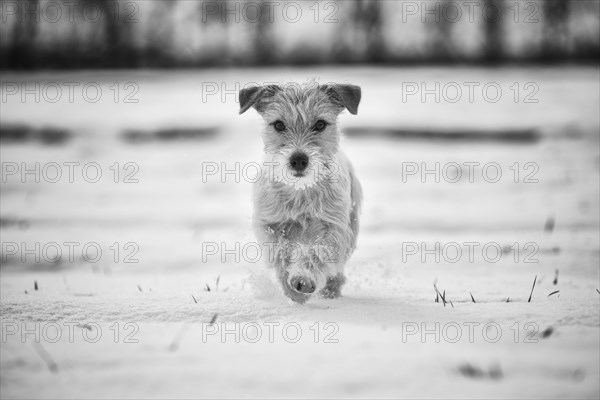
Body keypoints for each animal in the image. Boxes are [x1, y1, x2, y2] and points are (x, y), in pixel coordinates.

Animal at [238, 81, 360, 304]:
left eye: (320, 124)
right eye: (279, 125)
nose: (299, 160)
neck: (300, 191)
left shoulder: (335, 227)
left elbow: (320, 251)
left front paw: (303, 279)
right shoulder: (269, 224)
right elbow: (280, 252)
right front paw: (292, 288)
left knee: (336, 268)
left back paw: (330, 290)